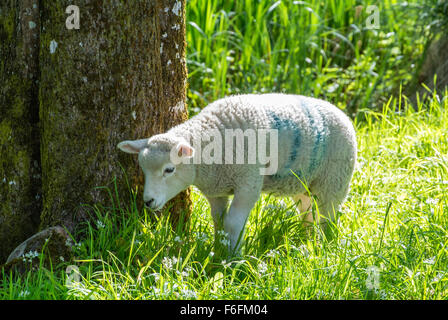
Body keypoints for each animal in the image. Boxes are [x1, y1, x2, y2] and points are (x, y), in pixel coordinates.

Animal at [118, 94, 356, 254]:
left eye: (169, 169)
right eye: (143, 168)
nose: (148, 201)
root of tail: (343, 114)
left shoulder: (248, 183)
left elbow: (232, 223)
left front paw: (234, 258)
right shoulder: (215, 190)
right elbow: (218, 221)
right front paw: (219, 249)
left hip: (335, 180)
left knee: (328, 217)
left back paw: (326, 245)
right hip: (303, 183)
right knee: (308, 212)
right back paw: (307, 239)